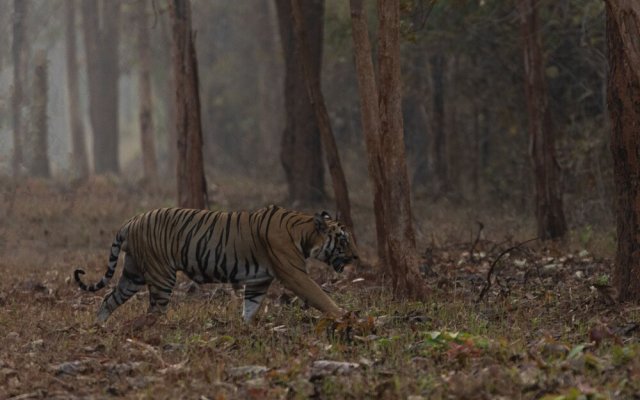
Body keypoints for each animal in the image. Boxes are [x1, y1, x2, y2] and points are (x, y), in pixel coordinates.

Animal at [74, 205, 360, 324]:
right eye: (344, 240)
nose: (357, 257)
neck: (304, 232)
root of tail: (130, 222)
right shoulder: (294, 274)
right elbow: (320, 296)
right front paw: (345, 315)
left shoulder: (259, 281)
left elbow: (250, 307)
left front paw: (245, 328)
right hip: (161, 275)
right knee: (153, 311)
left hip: (133, 275)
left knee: (109, 299)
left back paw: (98, 327)